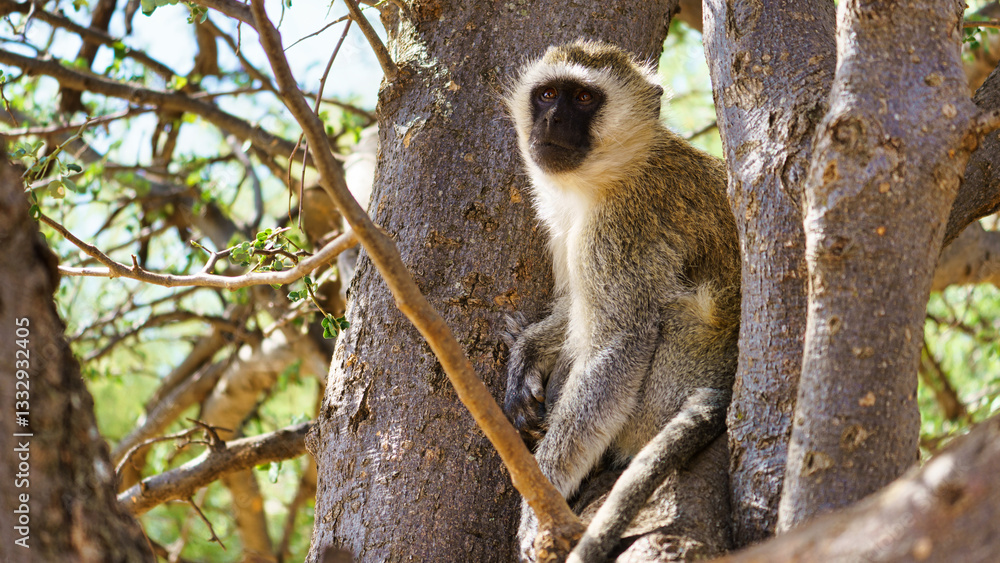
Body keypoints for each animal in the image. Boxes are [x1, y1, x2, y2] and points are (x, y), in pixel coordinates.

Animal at [502, 40, 740, 562]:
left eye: (584, 98)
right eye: (546, 94)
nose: (551, 120)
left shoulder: (618, 229)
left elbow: (618, 347)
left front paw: (540, 506)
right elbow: (573, 305)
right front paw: (525, 356)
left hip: (676, 376)